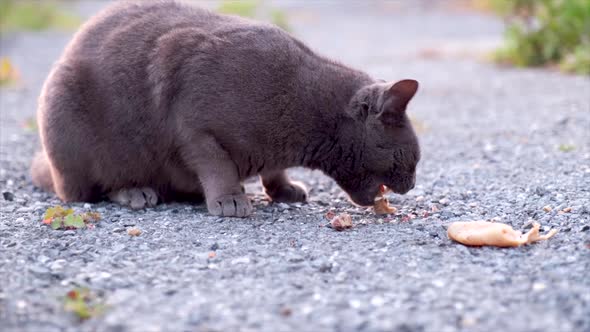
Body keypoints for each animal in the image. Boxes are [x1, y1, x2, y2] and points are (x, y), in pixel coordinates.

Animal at [31, 0, 420, 218]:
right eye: (410, 159)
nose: (414, 184)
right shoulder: (194, 128)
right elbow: (217, 165)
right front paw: (230, 200)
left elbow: (274, 170)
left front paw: (283, 189)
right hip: (68, 115)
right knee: (84, 190)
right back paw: (135, 191)